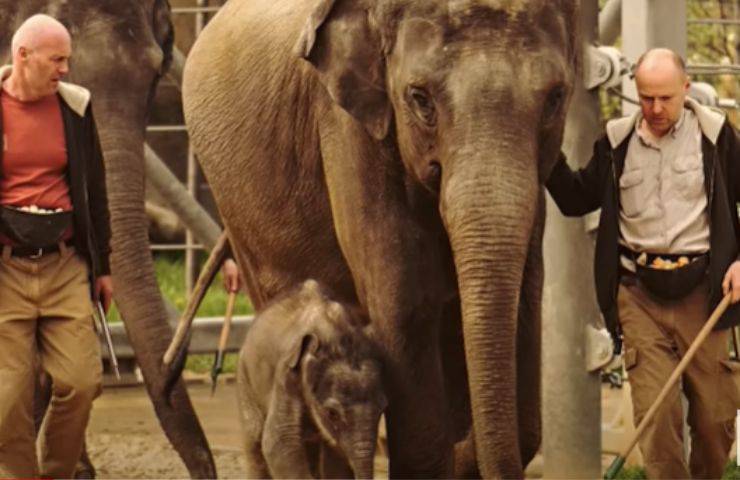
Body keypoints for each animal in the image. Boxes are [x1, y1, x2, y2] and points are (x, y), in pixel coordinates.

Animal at [237, 280, 388, 478]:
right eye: (332, 413)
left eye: (382, 409)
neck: (334, 333)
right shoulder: (287, 375)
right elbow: (279, 443)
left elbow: (334, 454)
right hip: (245, 380)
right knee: (254, 439)